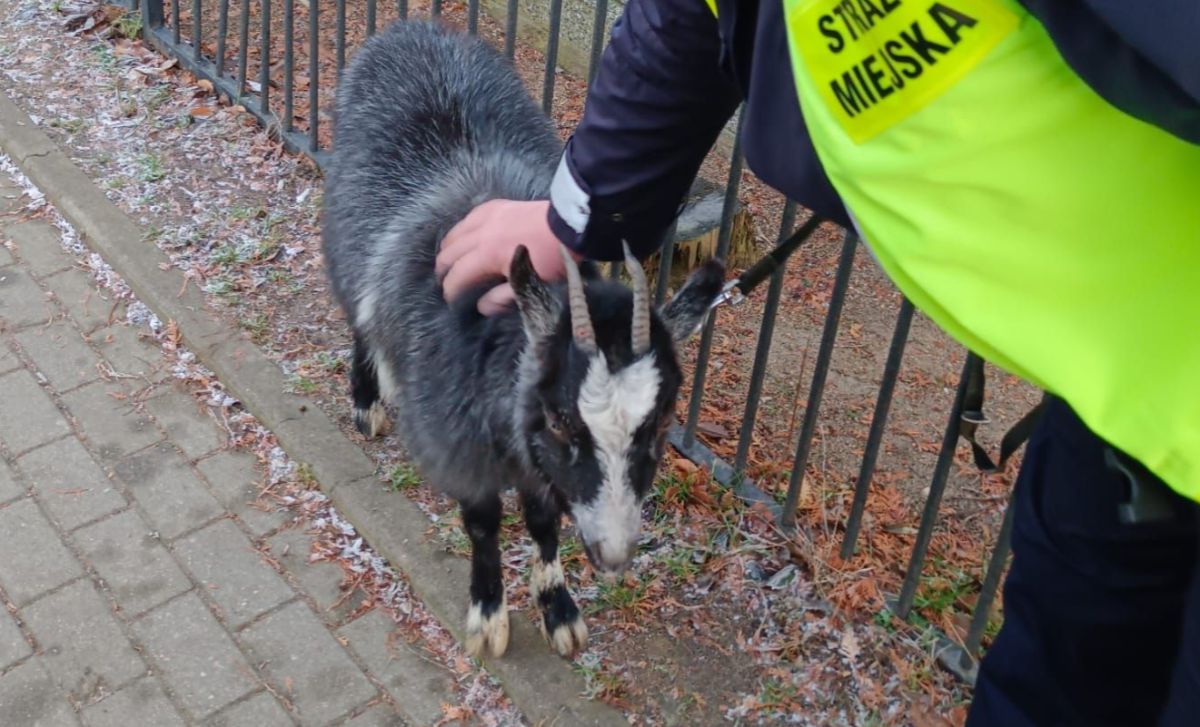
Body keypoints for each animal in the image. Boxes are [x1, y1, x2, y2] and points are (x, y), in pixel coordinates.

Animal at [319, 19, 724, 662]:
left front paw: (558, 608)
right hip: (346, 235)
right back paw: (366, 398)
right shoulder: (460, 443)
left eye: (661, 421)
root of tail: (414, 28)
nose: (613, 555)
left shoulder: (538, 464)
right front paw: (489, 614)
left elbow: (542, 521)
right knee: (359, 306)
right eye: (559, 417)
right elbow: (483, 523)